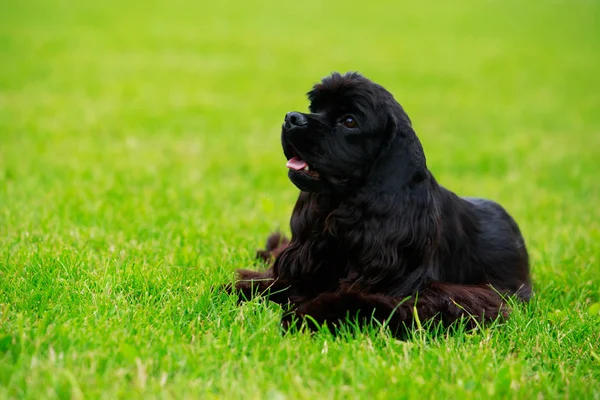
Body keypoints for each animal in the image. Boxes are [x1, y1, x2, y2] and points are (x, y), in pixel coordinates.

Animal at [229, 72, 528, 338]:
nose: (291, 118)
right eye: (314, 107)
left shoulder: (441, 296)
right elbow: (274, 281)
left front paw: (304, 316)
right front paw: (239, 290)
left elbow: (359, 301)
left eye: (349, 121)